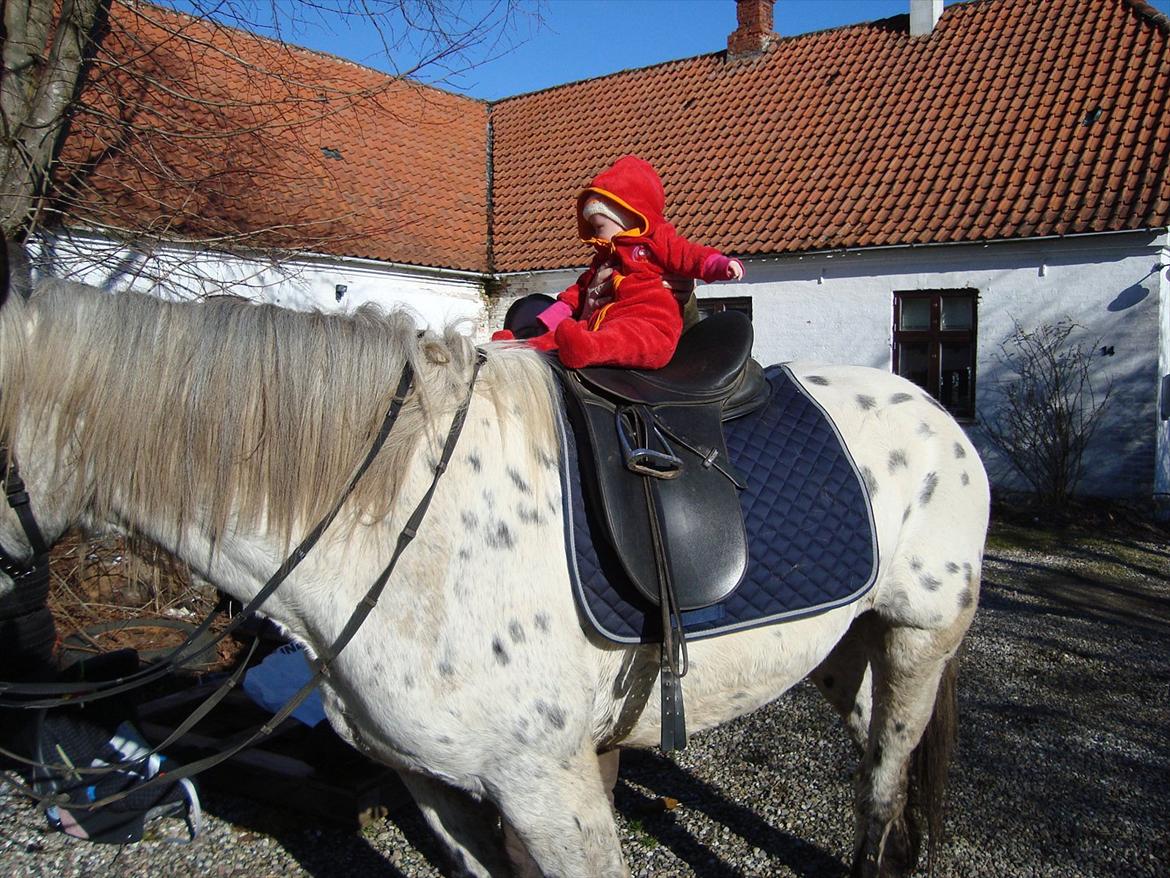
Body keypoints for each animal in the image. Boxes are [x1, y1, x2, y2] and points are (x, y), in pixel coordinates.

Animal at [0, 259, 987, 875]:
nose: (28, 626)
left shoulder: (547, 789)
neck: (392, 526)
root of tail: (932, 406)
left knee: (883, 780)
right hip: (846, 646)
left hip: (920, 636)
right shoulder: (435, 785)